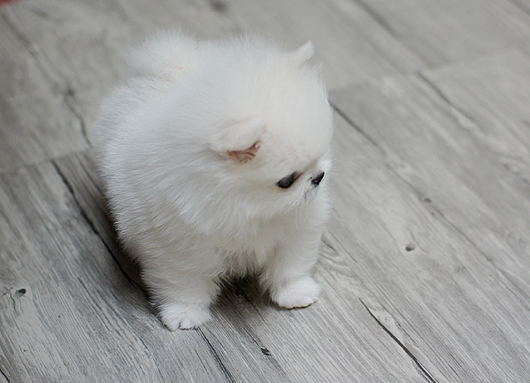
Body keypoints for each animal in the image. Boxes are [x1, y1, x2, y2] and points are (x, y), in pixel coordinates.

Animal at [91, 33, 330, 332]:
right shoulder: (175, 248)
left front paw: (295, 292)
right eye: (286, 181)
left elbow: (290, 264)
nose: (319, 177)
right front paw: (184, 314)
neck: (242, 206)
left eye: (321, 157)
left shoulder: (295, 230)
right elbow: (183, 284)